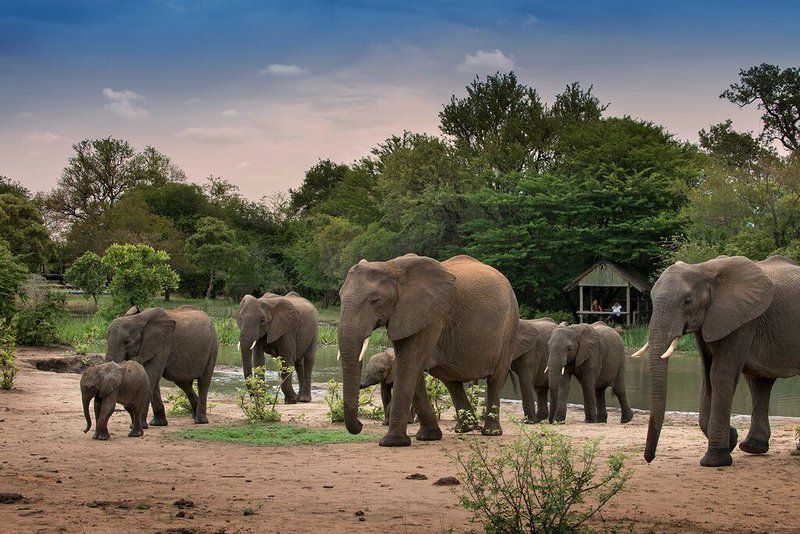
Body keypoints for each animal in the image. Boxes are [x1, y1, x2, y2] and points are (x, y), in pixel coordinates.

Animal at [336, 255, 520, 448]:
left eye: (375, 300)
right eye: (340, 297)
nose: (360, 425)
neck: (391, 266)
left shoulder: (432, 315)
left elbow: (409, 363)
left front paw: (391, 442)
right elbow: (408, 364)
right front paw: (427, 436)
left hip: (510, 328)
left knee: (495, 379)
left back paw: (491, 432)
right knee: (452, 382)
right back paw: (465, 429)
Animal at [636, 255, 800, 468]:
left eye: (688, 301)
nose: (649, 459)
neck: (704, 269)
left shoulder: (741, 320)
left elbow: (721, 375)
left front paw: (715, 461)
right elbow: (707, 377)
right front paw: (731, 439)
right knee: (759, 382)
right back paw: (752, 447)